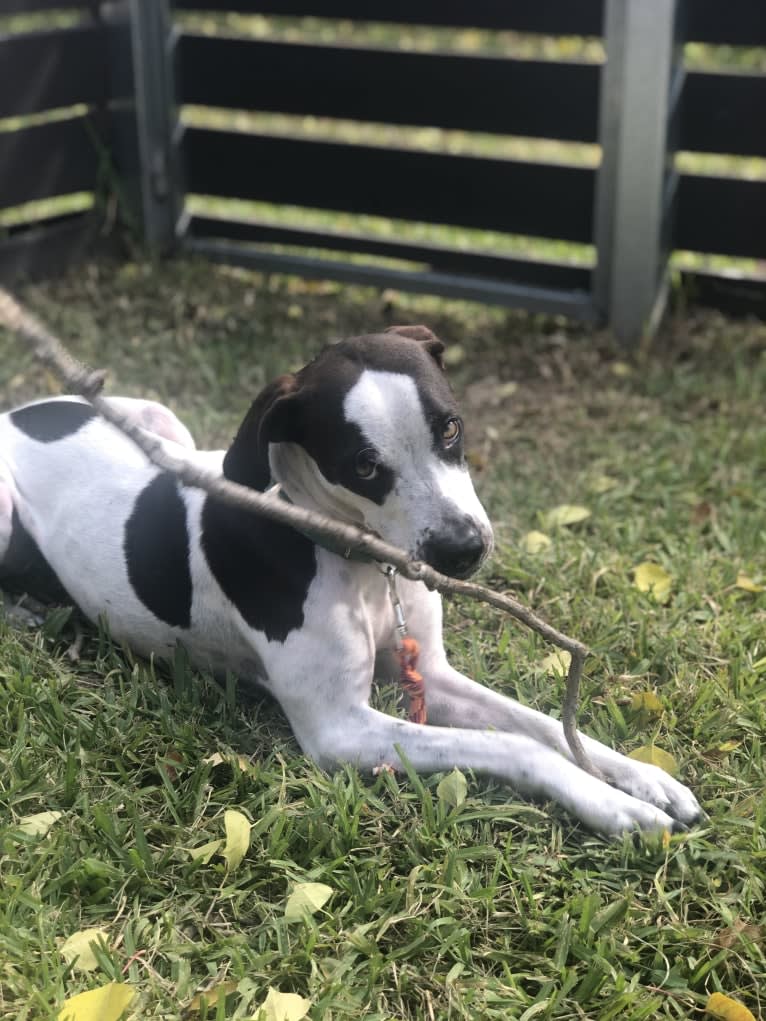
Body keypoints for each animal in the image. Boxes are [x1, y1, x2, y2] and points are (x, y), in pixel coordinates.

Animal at [0, 328, 702, 837]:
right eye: (363, 465)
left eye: (451, 427)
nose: (463, 551)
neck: (357, 560)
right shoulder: (339, 728)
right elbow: (516, 746)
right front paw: (615, 807)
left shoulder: (430, 673)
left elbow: (547, 726)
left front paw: (645, 777)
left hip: (157, 416)